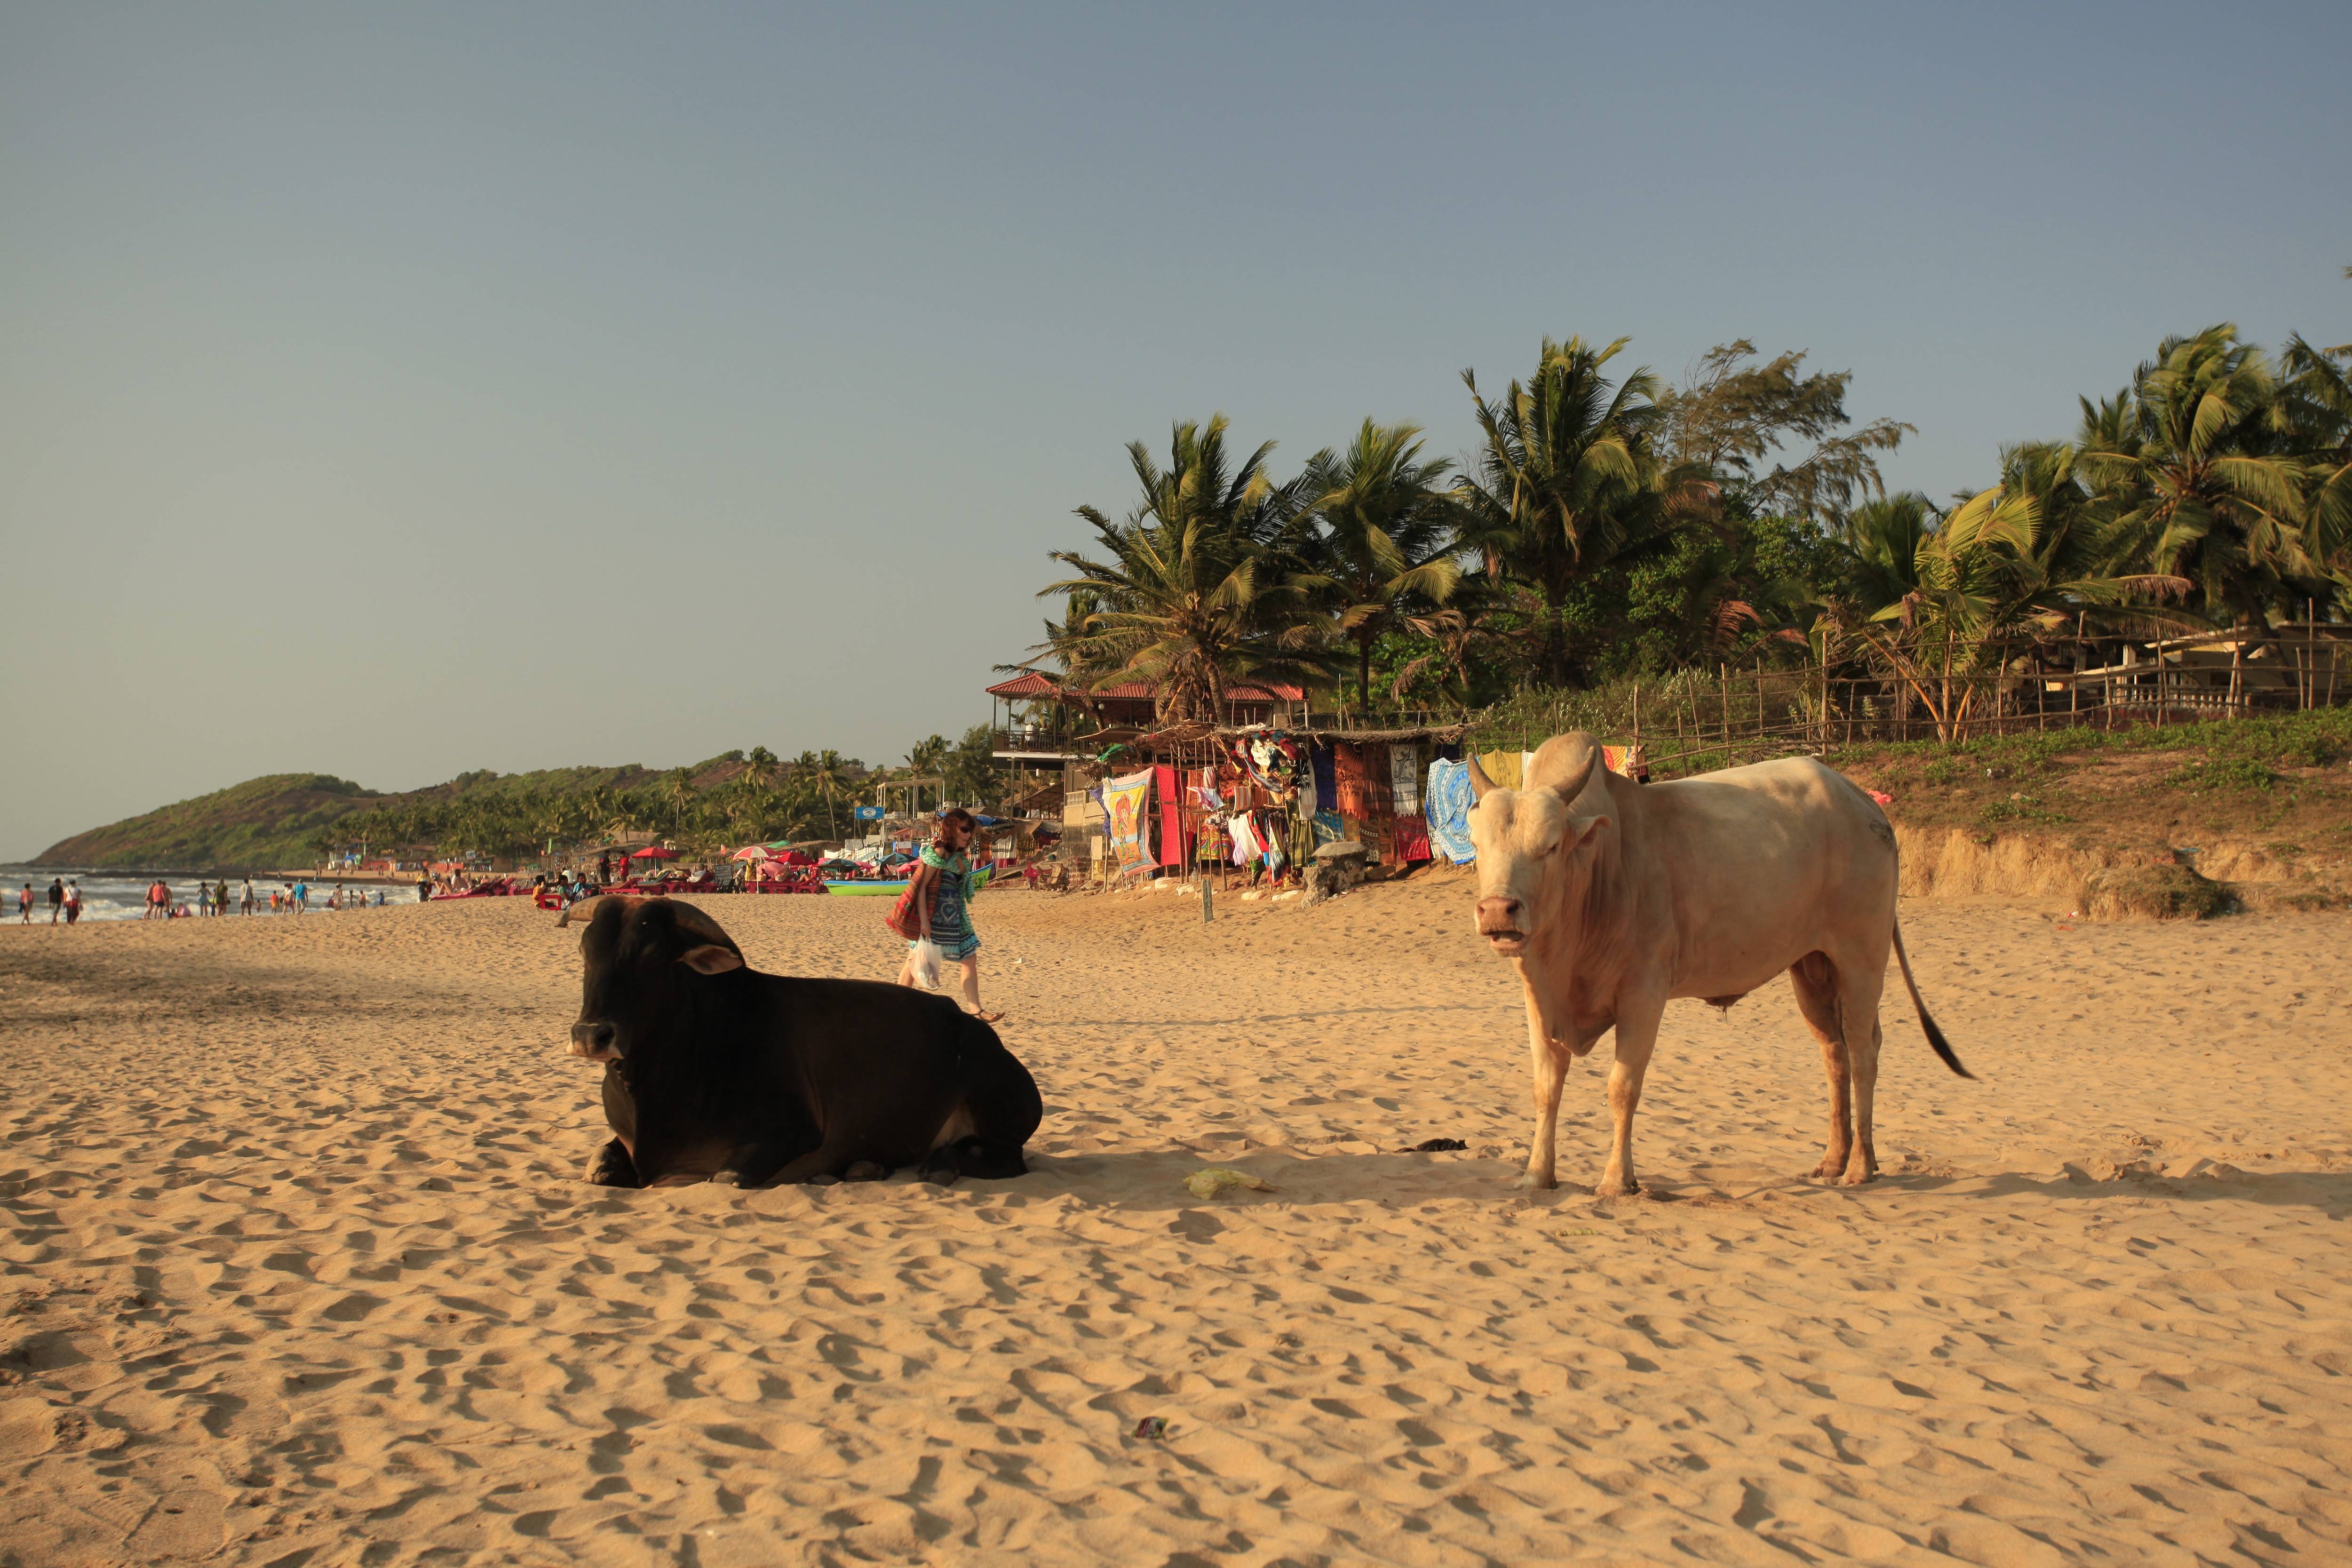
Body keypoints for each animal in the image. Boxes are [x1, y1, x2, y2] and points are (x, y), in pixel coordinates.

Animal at [560, 902, 1040, 1185]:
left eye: (654, 954)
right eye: (584, 951)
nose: (590, 1035)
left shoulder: (791, 1133)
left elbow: (726, 1177)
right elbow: (598, 1167)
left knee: (1003, 1159)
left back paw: (938, 1165)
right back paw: (865, 1166)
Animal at [1468, 729, 1966, 1194]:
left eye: (1551, 846)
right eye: (1478, 845)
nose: (1497, 911)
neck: (1596, 873)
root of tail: (1864, 803)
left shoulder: (1644, 993)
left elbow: (1622, 1089)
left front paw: (1617, 1180)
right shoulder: (1539, 997)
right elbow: (1546, 1088)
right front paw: (1537, 1174)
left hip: (1861, 959)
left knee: (1864, 1051)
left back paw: (1860, 1166)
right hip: (1813, 968)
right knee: (1835, 1053)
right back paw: (1833, 1159)